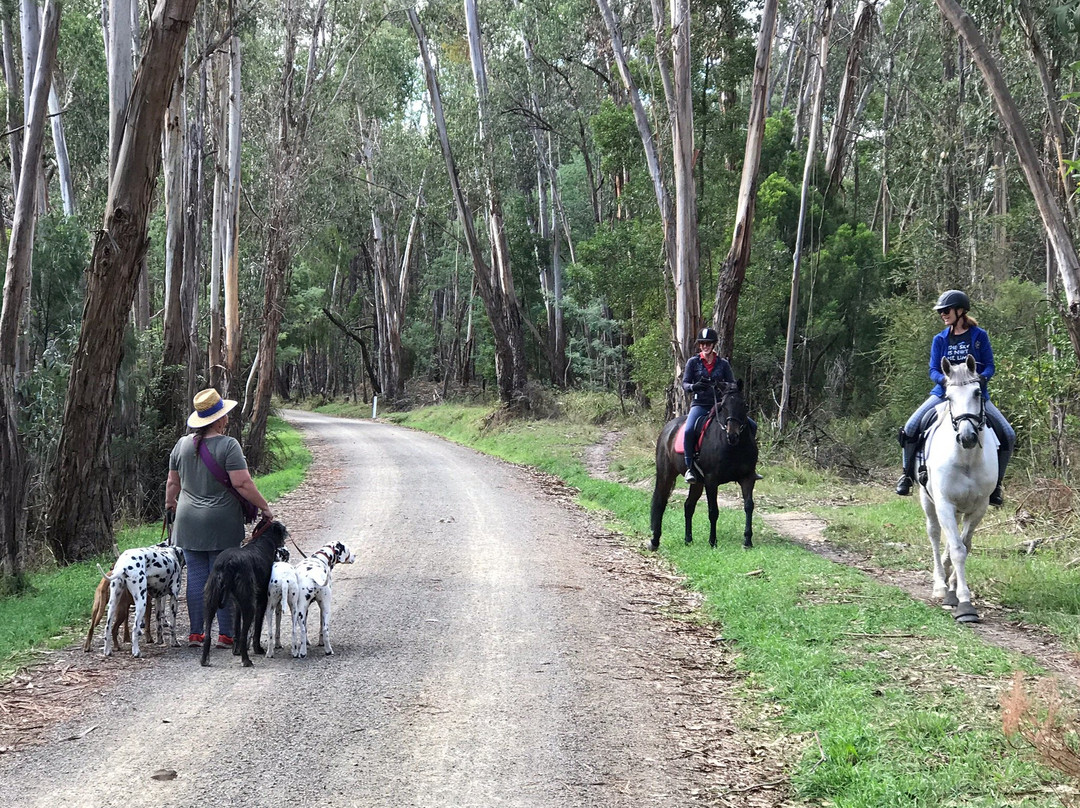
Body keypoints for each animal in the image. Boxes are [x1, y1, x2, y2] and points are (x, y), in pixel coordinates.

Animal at [200, 520, 289, 665]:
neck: (265, 541)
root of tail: (228, 563)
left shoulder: (236, 604)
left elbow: (236, 627)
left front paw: (235, 650)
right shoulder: (261, 601)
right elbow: (257, 628)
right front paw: (257, 649)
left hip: (210, 601)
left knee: (208, 633)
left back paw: (204, 660)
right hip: (249, 604)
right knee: (244, 634)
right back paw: (246, 660)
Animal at [648, 382, 760, 553]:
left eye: (744, 405)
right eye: (723, 406)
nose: (732, 435)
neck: (732, 447)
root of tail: (668, 428)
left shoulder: (747, 478)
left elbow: (749, 506)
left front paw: (747, 540)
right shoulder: (711, 481)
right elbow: (713, 511)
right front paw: (713, 541)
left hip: (697, 483)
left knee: (688, 506)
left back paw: (688, 539)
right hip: (666, 474)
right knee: (660, 502)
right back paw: (654, 541)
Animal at [915, 354, 997, 626]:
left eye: (977, 392)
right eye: (949, 397)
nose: (968, 436)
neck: (966, 458)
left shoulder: (979, 507)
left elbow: (964, 545)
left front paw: (955, 589)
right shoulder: (944, 503)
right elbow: (958, 549)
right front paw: (963, 601)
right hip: (928, 500)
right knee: (934, 534)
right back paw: (940, 584)